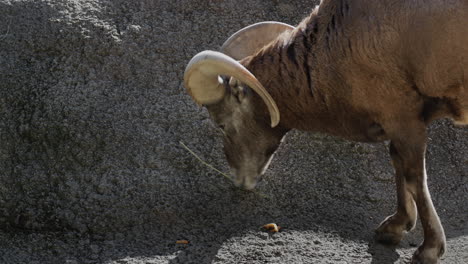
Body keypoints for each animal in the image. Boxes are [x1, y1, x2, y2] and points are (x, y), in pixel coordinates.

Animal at [183, 1, 468, 262]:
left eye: (222, 124)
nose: (241, 181)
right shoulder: (399, 124)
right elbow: (399, 166)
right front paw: (393, 229)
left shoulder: (404, 121)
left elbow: (414, 178)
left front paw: (429, 250)